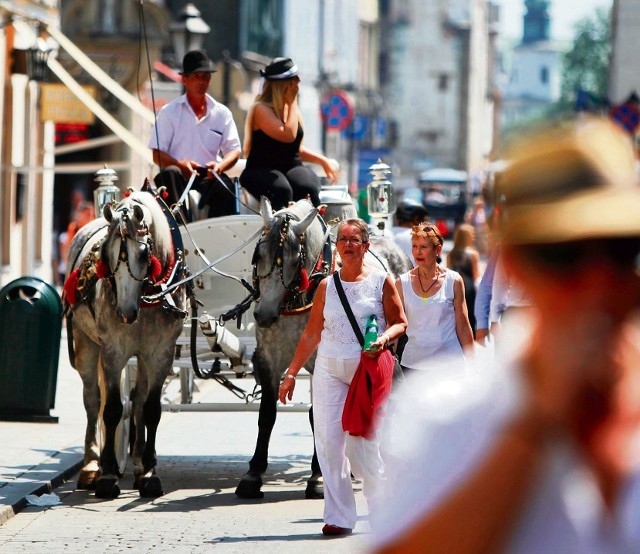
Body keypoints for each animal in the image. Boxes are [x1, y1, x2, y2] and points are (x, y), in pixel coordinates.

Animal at [235, 197, 410, 496]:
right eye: (258, 255)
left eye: (296, 260)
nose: (264, 315)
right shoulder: (269, 358)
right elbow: (267, 414)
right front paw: (253, 473)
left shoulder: (320, 361)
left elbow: (318, 415)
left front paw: (317, 476)